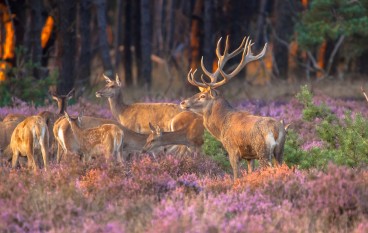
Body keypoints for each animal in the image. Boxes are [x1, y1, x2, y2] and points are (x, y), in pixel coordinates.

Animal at [180, 36, 286, 181]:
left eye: (202, 96)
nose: (183, 102)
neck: (221, 127)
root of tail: (275, 130)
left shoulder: (232, 150)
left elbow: (236, 175)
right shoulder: (249, 156)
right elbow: (250, 172)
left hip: (263, 151)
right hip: (280, 151)